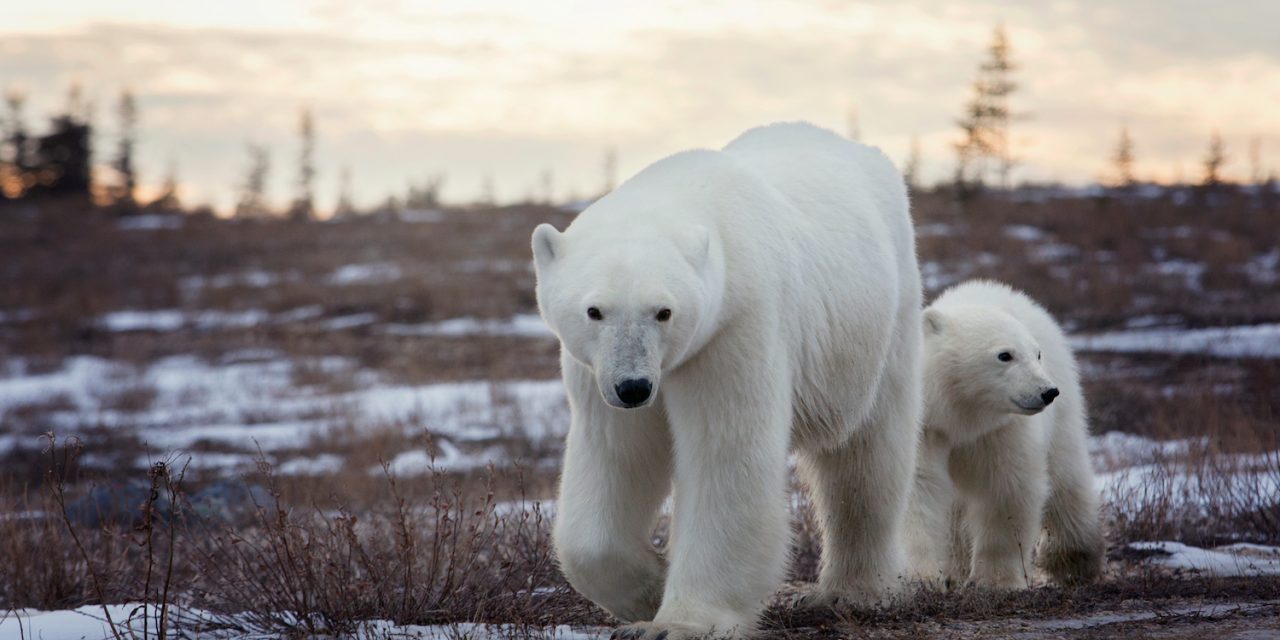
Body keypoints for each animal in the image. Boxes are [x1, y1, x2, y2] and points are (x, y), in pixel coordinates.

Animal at [532, 122, 923, 638]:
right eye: (594, 310)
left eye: (664, 311)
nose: (633, 387)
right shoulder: (594, 372)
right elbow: (617, 455)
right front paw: (648, 589)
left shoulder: (734, 328)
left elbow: (725, 455)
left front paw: (676, 623)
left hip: (881, 325)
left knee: (867, 456)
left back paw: (852, 591)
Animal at [904, 279, 1105, 590]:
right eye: (1005, 355)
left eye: (1036, 354)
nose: (1048, 392)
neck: (960, 415)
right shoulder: (926, 427)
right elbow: (919, 487)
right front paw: (920, 578)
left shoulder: (1002, 429)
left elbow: (1006, 487)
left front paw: (995, 580)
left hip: (1065, 408)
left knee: (1066, 477)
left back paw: (1074, 560)